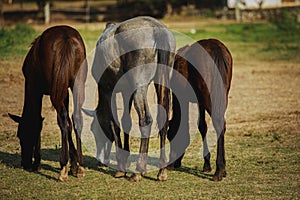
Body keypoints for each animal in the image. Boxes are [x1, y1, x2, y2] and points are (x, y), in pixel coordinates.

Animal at [8, 25, 87, 181]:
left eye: (21, 135)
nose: (25, 163)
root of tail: (65, 37)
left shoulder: (35, 90)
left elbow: (38, 121)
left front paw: (37, 163)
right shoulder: (64, 91)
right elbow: (69, 124)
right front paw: (74, 165)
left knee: (63, 121)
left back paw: (63, 168)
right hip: (77, 84)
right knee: (75, 118)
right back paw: (80, 166)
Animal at [88, 16, 175, 181]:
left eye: (94, 130)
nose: (100, 160)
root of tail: (156, 29)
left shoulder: (109, 91)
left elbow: (114, 123)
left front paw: (121, 167)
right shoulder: (126, 92)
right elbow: (125, 122)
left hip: (139, 88)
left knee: (145, 120)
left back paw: (138, 171)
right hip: (161, 82)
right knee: (163, 119)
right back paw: (162, 170)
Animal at [168, 38, 233, 181]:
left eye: (170, 136)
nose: (171, 164)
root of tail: (216, 48)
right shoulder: (200, 101)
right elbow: (203, 127)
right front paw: (207, 163)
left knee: (218, 124)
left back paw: (219, 170)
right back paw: (223, 169)